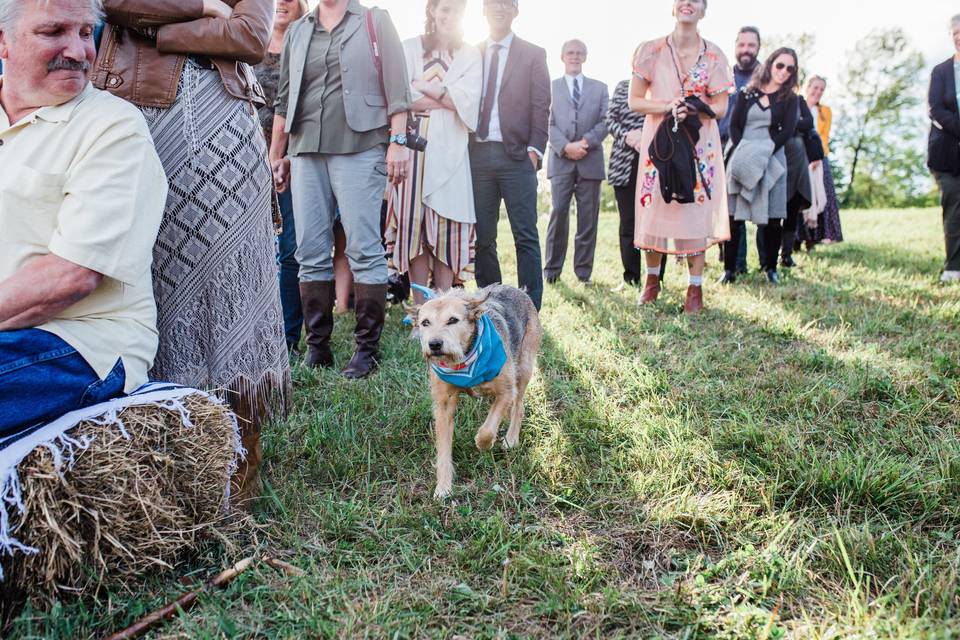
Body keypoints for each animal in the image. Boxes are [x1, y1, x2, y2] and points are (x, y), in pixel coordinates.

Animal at [404, 284, 540, 500]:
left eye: (453, 320)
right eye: (425, 323)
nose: (434, 344)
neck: (464, 360)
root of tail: (518, 289)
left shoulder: (506, 391)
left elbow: (487, 430)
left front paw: (484, 444)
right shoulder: (444, 405)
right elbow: (443, 450)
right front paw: (443, 487)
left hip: (524, 368)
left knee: (519, 407)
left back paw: (511, 439)